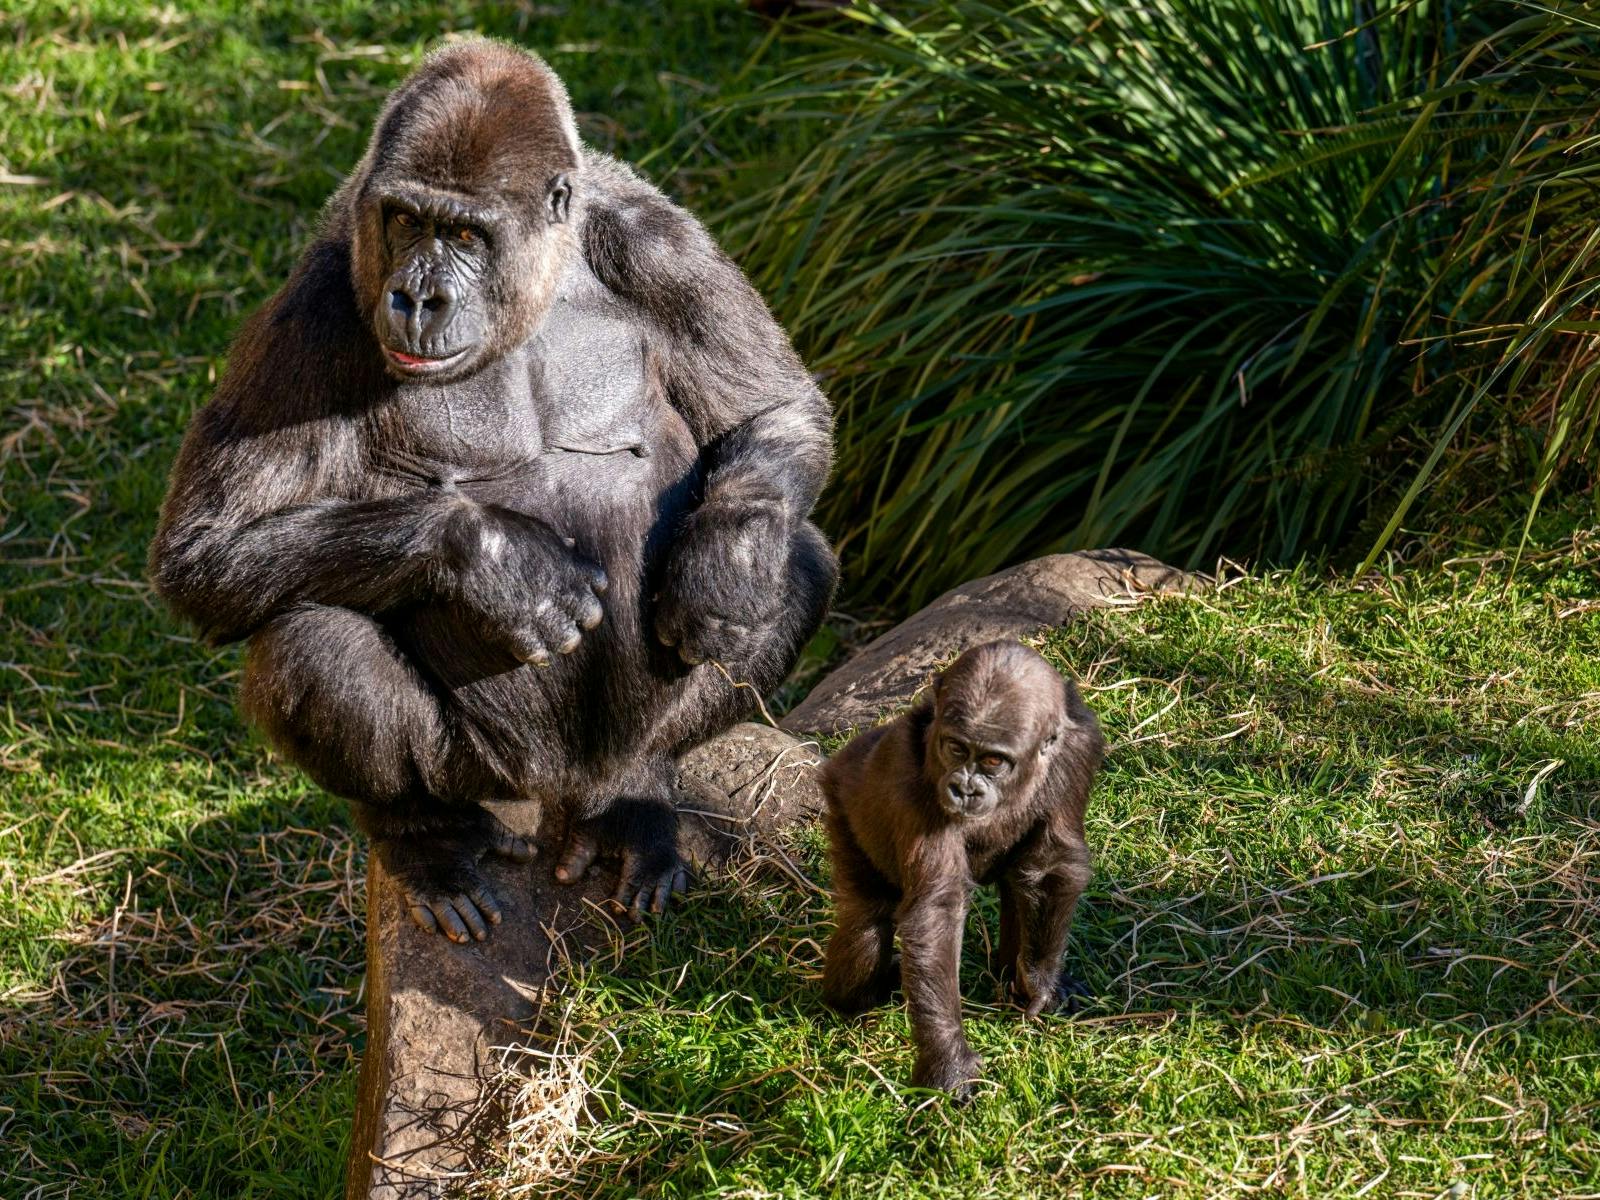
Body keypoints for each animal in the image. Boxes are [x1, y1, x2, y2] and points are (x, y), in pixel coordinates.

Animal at [147, 40, 837, 943]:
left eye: (466, 233)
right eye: (407, 221)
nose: (416, 296)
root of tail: (556, 787)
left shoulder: (662, 242)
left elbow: (773, 411)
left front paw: (722, 566)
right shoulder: (313, 309)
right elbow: (207, 552)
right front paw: (497, 562)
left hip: (598, 764)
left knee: (798, 557)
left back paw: (638, 791)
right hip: (485, 771)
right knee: (312, 643)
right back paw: (426, 838)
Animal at [819, 640, 1102, 1098]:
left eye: (993, 760)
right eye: (955, 748)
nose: (964, 788)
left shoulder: (1080, 747)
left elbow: (1049, 864)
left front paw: (1041, 981)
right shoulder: (910, 788)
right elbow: (937, 913)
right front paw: (949, 1065)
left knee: (1018, 883)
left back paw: (1008, 975)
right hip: (841, 799)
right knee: (867, 917)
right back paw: (858, 996)